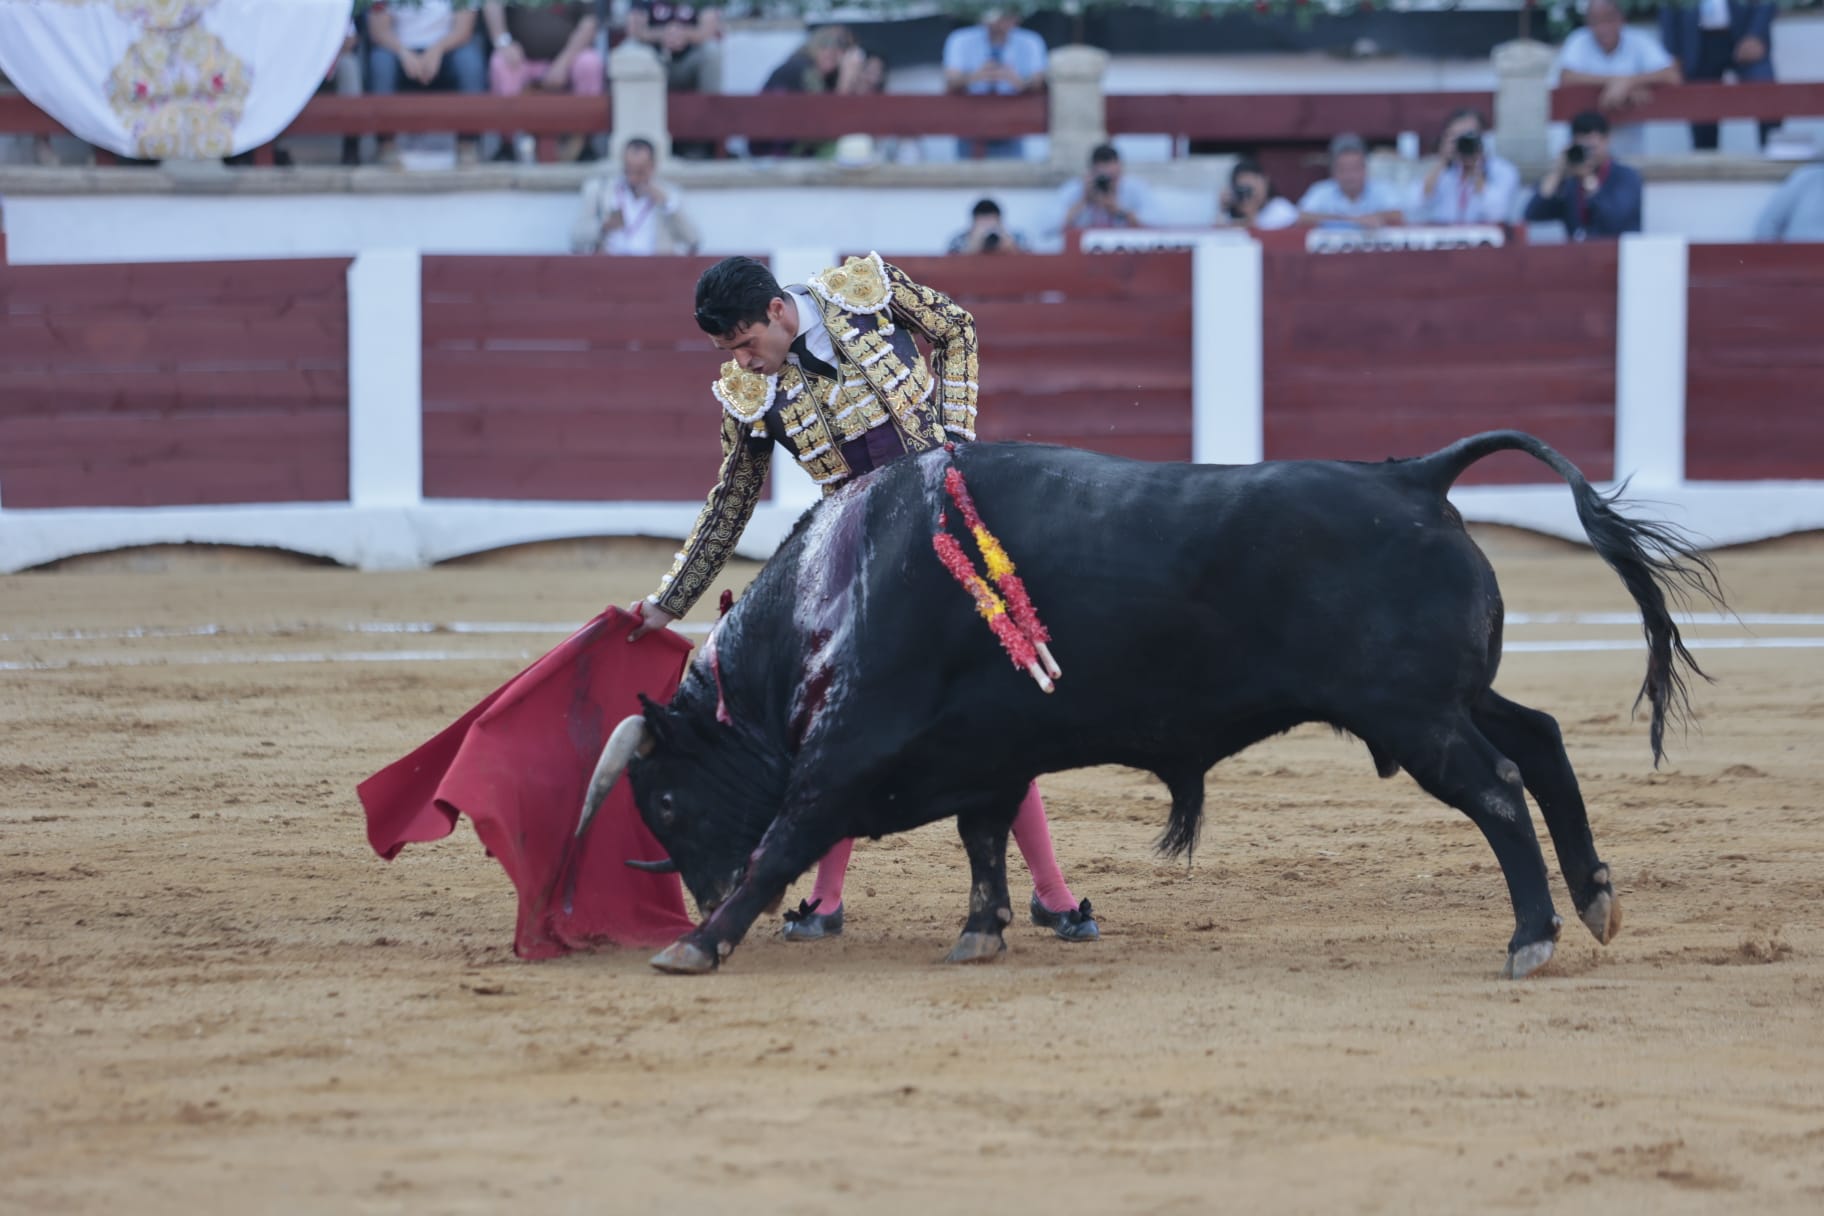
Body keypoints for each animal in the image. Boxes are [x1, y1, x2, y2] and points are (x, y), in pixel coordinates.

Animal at [572, 437, 1721, 977]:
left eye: (663, 802)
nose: (699, 890)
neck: (838, 587)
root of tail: (1416, 477)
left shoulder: (849, 752)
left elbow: (787, 836)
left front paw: (701, 942)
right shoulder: (983, 751)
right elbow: (983, 838)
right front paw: (981, 932)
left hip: (1414, 717)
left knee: (1497, 786)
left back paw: (1532, 936)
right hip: (1447, 697)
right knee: (1540, 737)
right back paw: (1594, 897)